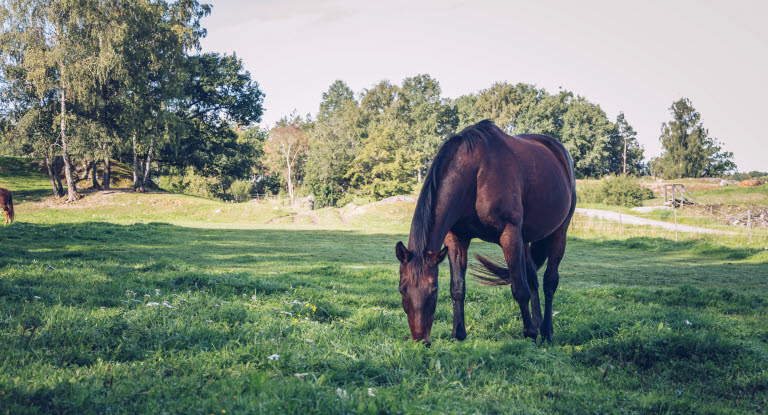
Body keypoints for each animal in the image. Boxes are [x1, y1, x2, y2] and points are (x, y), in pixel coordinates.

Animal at [400, 119, 572, 344]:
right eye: (402, 290)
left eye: (433, 290)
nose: (420, 340)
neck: (476, 174)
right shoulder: (457, 238)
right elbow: (457, 287)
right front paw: (458, 333)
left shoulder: (509, 235)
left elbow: (519, 288)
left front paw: (530, 332)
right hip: (524, 240)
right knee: (533, 279)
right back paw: (539, 324)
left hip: (559, 232)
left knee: (549, 282)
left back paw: (546, 331)